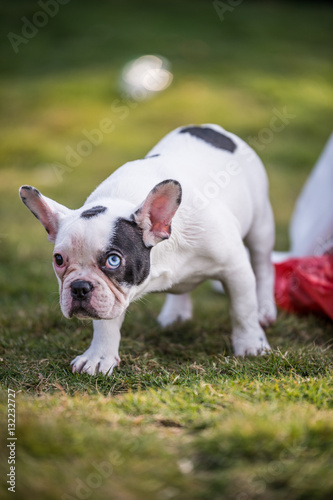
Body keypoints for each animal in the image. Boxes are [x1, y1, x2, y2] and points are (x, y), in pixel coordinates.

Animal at [19, 125, 276, 376]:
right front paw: (99, 357)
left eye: (113, 260)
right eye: (59, 259)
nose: (79, 287)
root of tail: (211, 128)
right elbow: (105, 322)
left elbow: (242, 310)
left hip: (261, 226)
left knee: (263, 266)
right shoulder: (110, 295)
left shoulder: (235, 268)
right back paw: (176, 313)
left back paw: (265, 310)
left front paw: (251, 345)